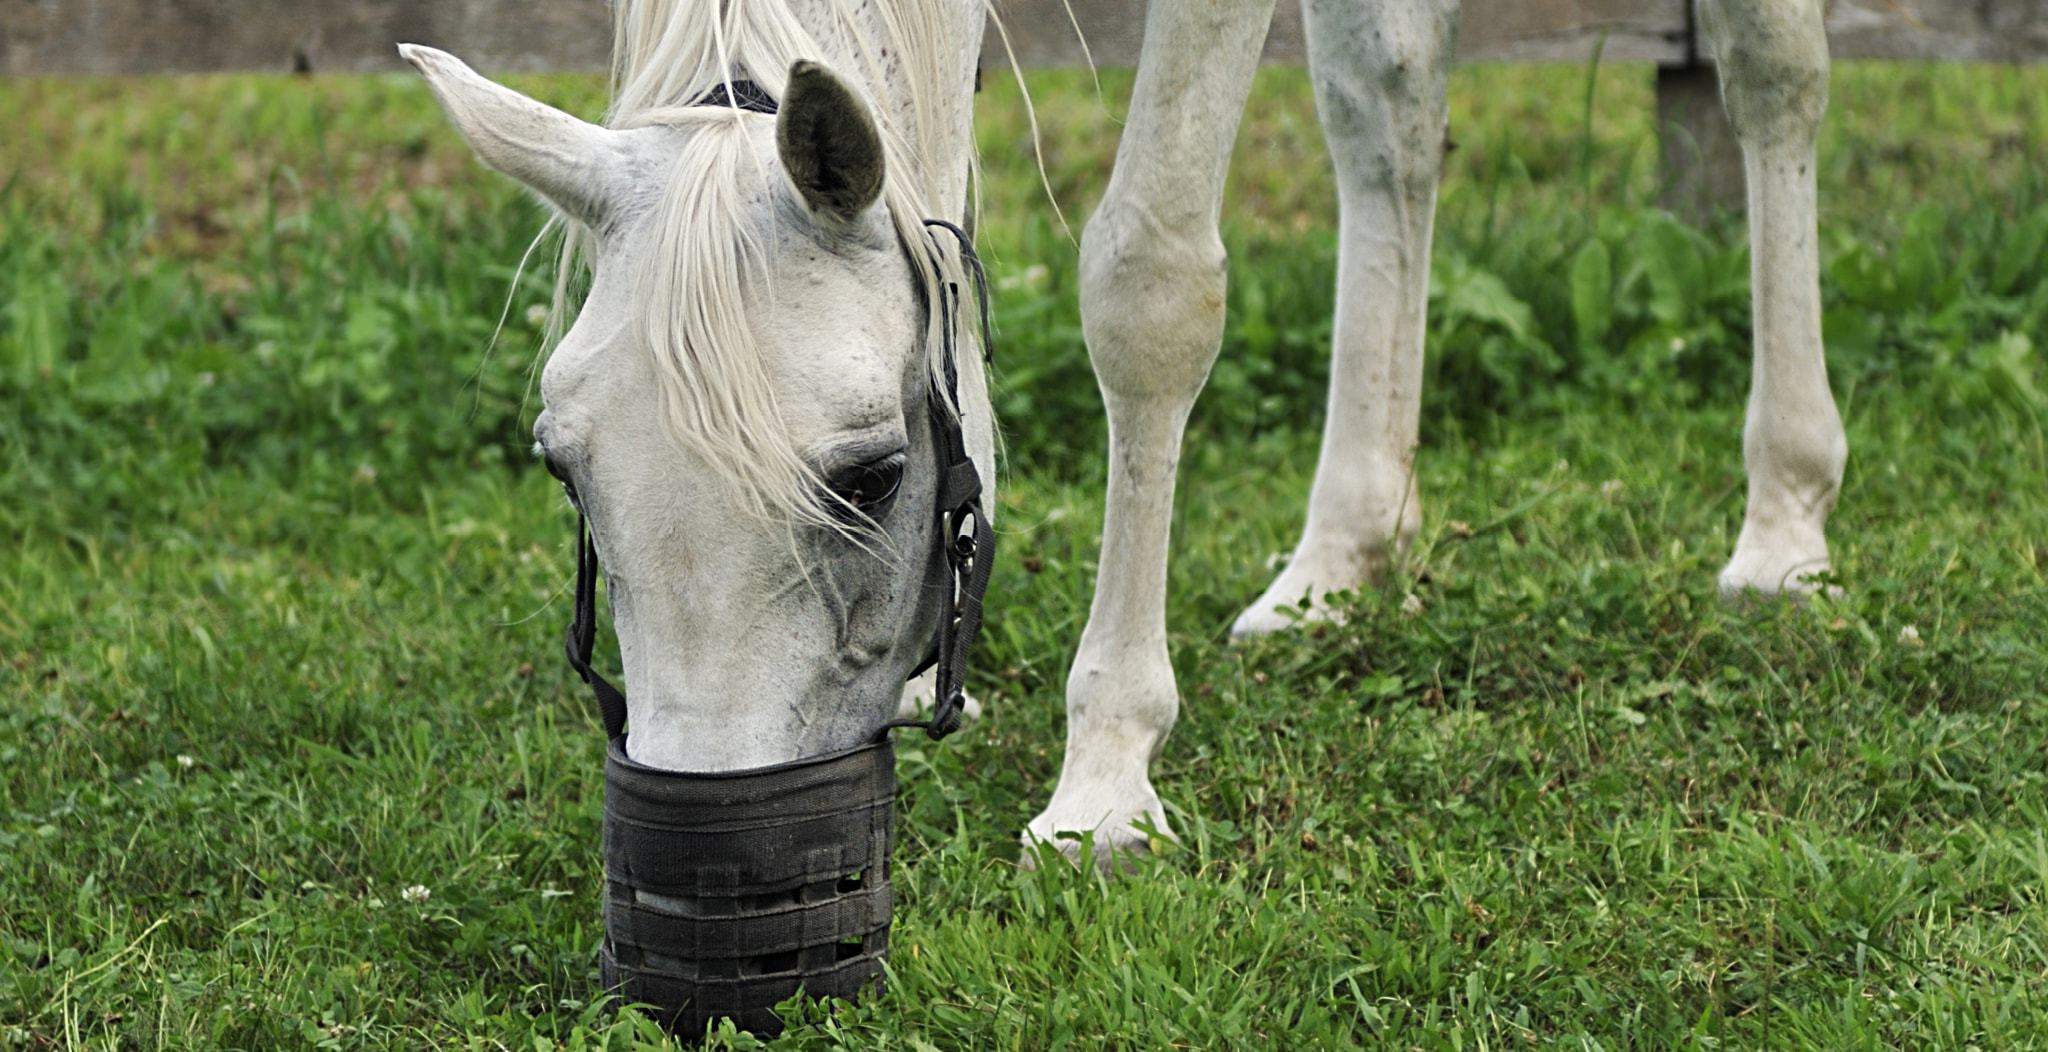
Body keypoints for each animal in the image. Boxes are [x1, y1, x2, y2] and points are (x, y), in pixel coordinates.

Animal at [402, 0, 1844, 863]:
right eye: (564, 469)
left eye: (869, 475)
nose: (706, 830)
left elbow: (1149, 288)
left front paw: (1104, 768)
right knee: (1386, 100)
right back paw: (1341, 556)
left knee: (1773, 65)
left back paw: (1784, 517)